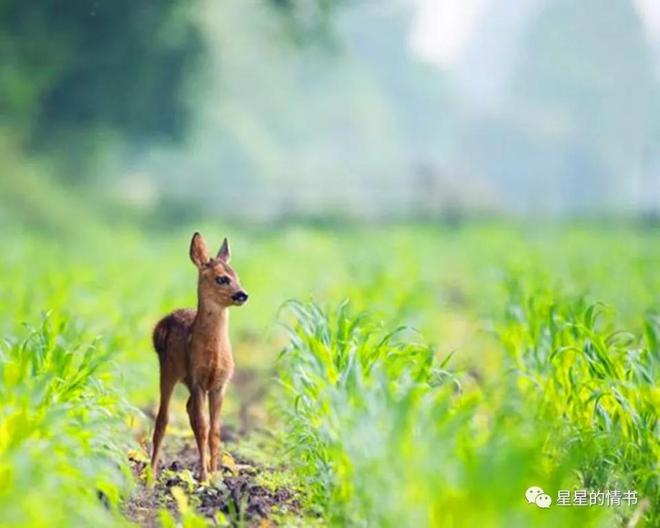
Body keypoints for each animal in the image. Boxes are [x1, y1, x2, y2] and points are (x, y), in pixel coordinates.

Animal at [151, 232, 249, 482]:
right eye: (222, 279)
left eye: (237, 276)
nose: (242, 295)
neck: (214, 356)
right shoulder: (197, 380)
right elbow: (203, 427)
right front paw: (205, 477)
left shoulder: (220, 384)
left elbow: (215, 430)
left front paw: (215, 475)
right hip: (168, 370)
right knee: (163, 419)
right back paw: (151, 474)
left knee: (188, 412)